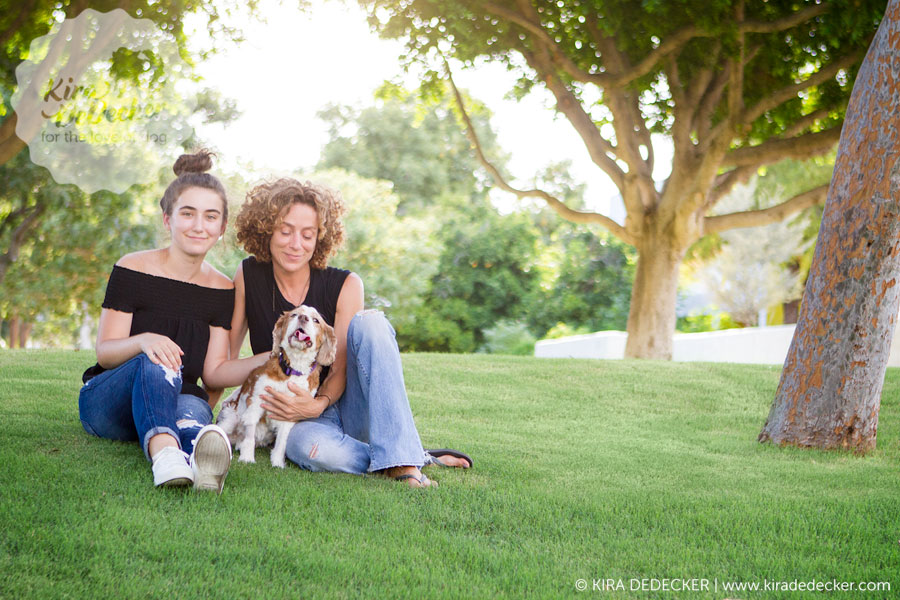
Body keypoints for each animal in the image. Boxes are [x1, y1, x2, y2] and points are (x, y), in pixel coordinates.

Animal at [216, 304, 336, 468]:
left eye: (316, 320)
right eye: (294, 315)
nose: (303, 318)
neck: (294, 368)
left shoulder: (291, 411)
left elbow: (282, 441)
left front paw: (278, 462)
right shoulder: (256, 402)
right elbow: (250, 434)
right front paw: (247, 458)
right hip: (231, 418)